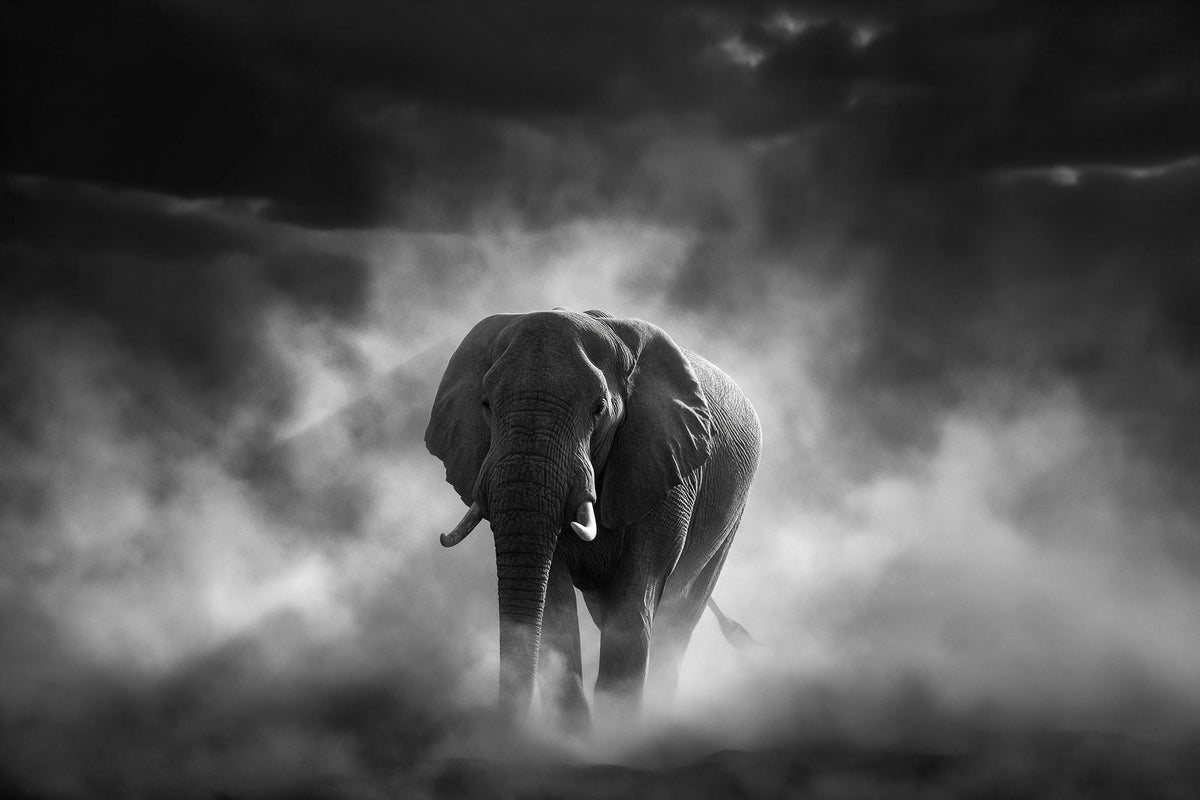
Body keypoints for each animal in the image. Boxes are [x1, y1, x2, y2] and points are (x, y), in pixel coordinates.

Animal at [425, 308, 760, 730]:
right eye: (485, 405)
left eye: (599, 409)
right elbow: (556, 609)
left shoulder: (666, 474)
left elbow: (632, 606)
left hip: (730, 522)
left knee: (674, 624)